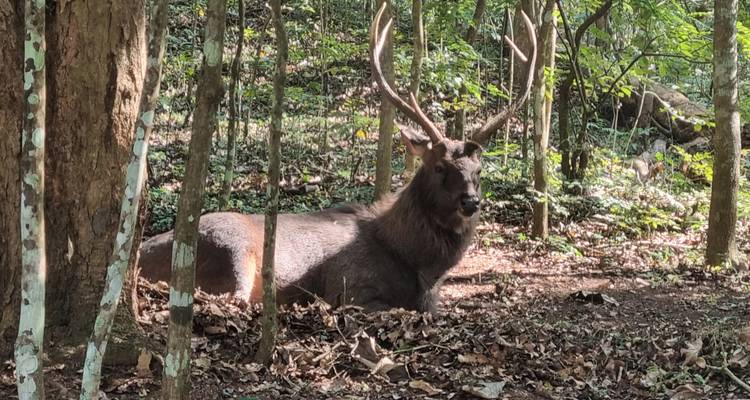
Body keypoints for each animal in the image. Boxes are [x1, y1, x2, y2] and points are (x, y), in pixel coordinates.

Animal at [138, 4, 537, 313]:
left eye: (479, 170)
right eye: (440, 167)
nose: (471, 202)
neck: (416, 265)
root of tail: (140, 253)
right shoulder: (352, 289)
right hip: (231, 254)